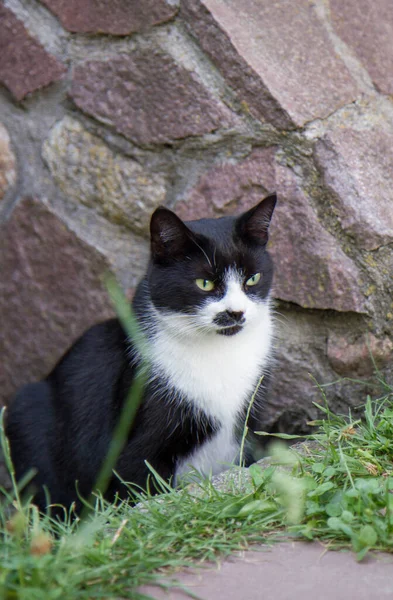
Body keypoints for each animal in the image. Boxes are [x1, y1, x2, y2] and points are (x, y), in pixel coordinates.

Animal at [5, 193, 276, 516]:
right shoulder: (137, 448)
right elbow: (141, 487)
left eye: (253, 278)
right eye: (205, 283)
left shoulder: (248, 423)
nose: (236, 312)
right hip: (25, 413)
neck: (219, 353)